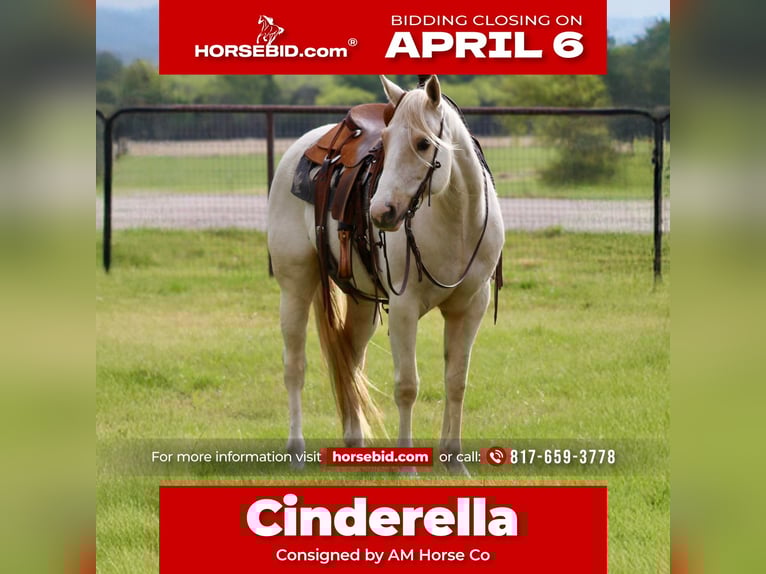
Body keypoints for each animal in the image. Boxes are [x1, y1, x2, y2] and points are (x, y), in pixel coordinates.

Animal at [267, 75, 504, 474]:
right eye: (387, 142)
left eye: (423, 143)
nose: (381, 212)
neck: (457, 224)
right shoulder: (405, 307)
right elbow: (407, 385)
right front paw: (407, 466)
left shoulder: (471, 306)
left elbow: (456, 381)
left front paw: (454, 460)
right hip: (296, 286)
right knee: (294, 366)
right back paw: (295, 451)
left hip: (361, 303)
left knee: (350, 359)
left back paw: (355, 443)